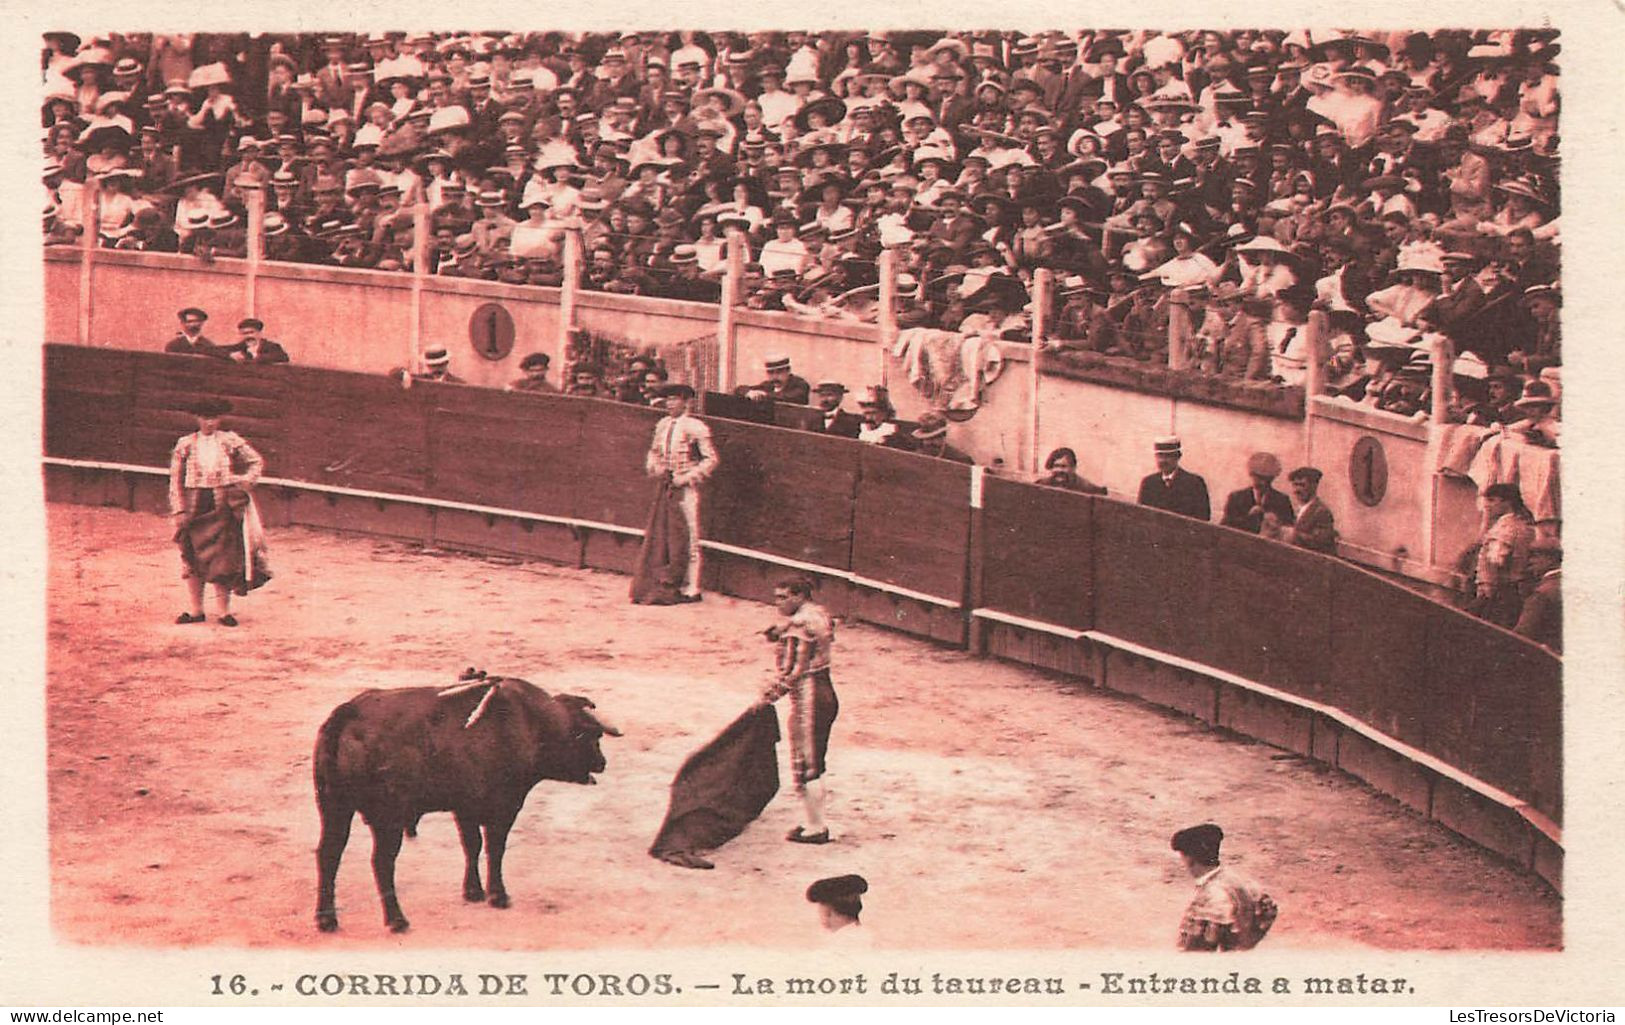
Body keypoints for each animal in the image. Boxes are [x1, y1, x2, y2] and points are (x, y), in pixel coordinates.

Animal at [312, 672, 620, 935]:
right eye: (593, 736)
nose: (602, 762)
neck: (531, 723)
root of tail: (347, 713)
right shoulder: (504, 807)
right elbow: (495, 849)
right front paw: (498, 895)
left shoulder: (465, 808)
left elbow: (472, 846)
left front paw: (473, 892)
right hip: (387, 820)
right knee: (382, 862)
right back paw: (397, 920)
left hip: (334, 808)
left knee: (328, 854)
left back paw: (327, 919)